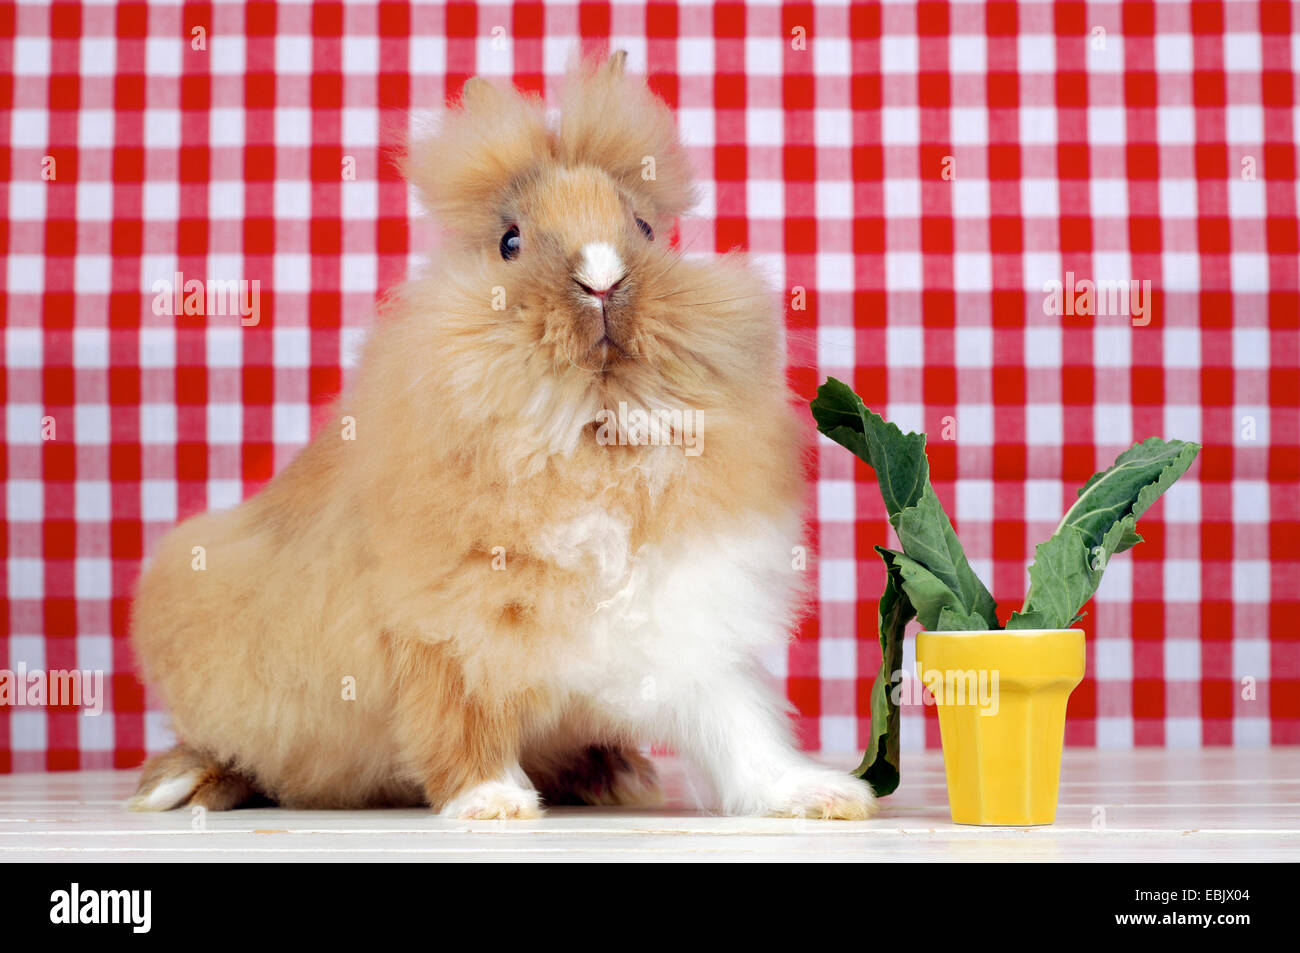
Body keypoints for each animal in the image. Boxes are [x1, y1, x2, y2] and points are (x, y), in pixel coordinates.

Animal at [128, 51, 877, 821]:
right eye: (509, 242)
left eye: (644, 228)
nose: (602, 279)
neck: (591, 434)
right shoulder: (445, 631)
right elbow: (462, 722)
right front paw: (493, 804)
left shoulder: (686, 629)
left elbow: (739, 729)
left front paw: (820, 795)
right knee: (236, 751)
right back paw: (178, 786)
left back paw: (614, 774)